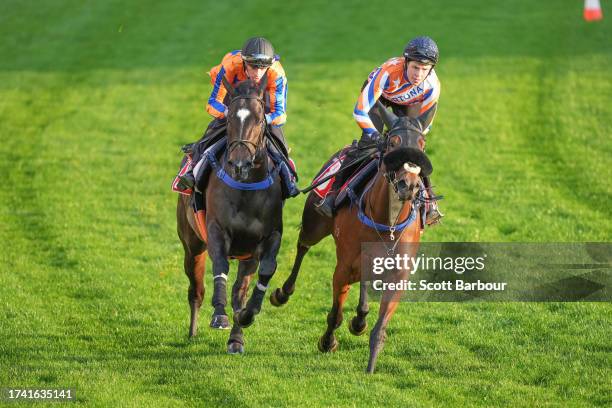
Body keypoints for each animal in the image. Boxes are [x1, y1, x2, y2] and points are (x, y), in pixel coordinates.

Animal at [176, 75, 284, 354]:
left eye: (259, 120)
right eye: (230, 120)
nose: (239, 164)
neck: (246, 189)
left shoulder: (269, 237)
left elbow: (265, 271)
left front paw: (246, 316)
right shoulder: (216, 230)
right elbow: (220, 266)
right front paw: (219, 316)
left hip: (246, 256)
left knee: (239, 291)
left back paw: (236, 338)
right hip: (192, 243)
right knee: (196, 289)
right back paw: (193, 331)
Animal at [270, 105, 432, 372]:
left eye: (422, 144)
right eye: (393, 143)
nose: (408, 185)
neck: (387, 223)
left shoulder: (398, 275)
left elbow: (380, 328)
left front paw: (371, 367)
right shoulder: (343, 268)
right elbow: (335, 314)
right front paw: (327, 342)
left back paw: (360, 318)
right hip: (315, 224)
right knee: (303, 246)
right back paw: (283, 292)